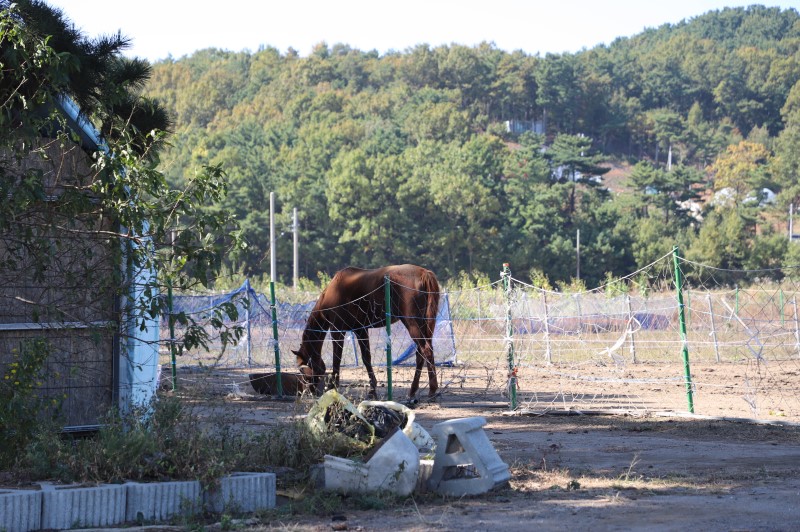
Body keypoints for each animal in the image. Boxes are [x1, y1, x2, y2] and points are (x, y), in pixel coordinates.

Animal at [292, 264, 440, 396]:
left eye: (303, 371)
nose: (310, 391)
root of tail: (424, 273)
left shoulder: (337, 331)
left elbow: (337, 358)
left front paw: (332, 386)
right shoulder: (360, 331)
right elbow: (366, 358)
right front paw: (372, 389)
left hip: (412, 324)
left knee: (425, 350)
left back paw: (429, 390)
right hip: (424, 326)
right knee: (421, 353)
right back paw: (416, 390)